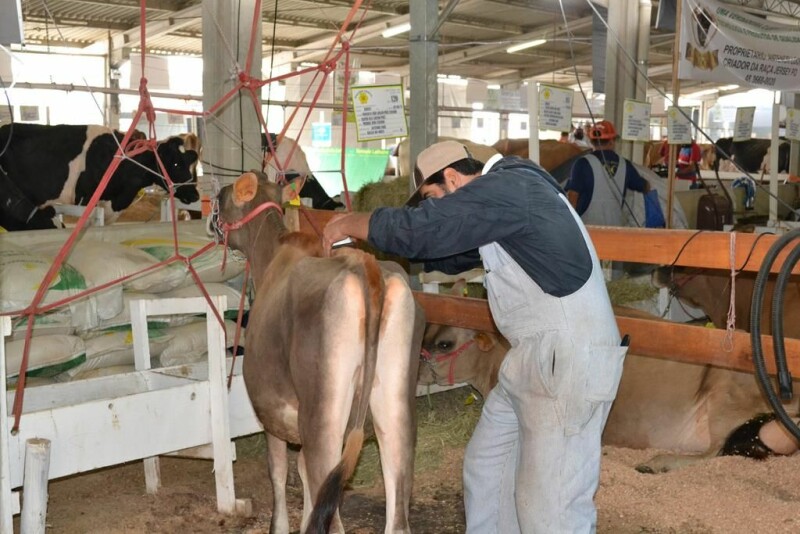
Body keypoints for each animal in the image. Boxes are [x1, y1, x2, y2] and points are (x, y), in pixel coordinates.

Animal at [212, 174, 424, 534]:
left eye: (221, 196)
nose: (210, 219)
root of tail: (361, 263)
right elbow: (304, 475)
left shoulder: (271, 414)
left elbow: (279, 472)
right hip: (395, 406)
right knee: (397, 514)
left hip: (322, 413)